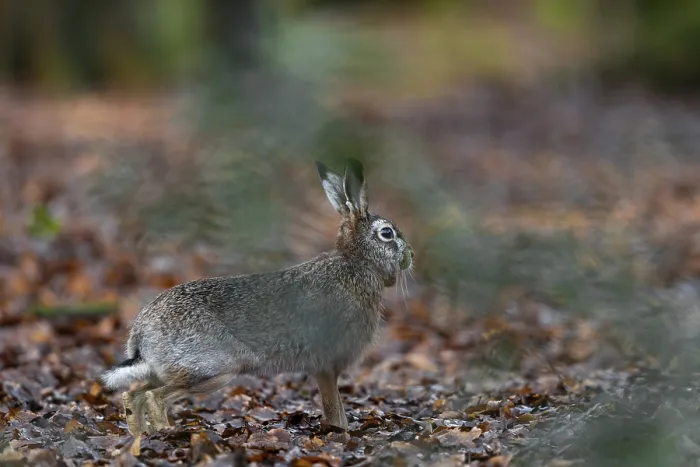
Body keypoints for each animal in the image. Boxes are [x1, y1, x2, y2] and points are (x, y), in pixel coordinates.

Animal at [101, 158, 413, 435]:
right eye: (387, 233)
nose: (410, 255)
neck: (357, 264)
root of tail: (142, 336)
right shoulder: (327, 365)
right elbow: (333, 408)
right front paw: (340, 432)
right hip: (214, 368)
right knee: (155, 397)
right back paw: (166, 432)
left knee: (132, 395)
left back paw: (139, 436)